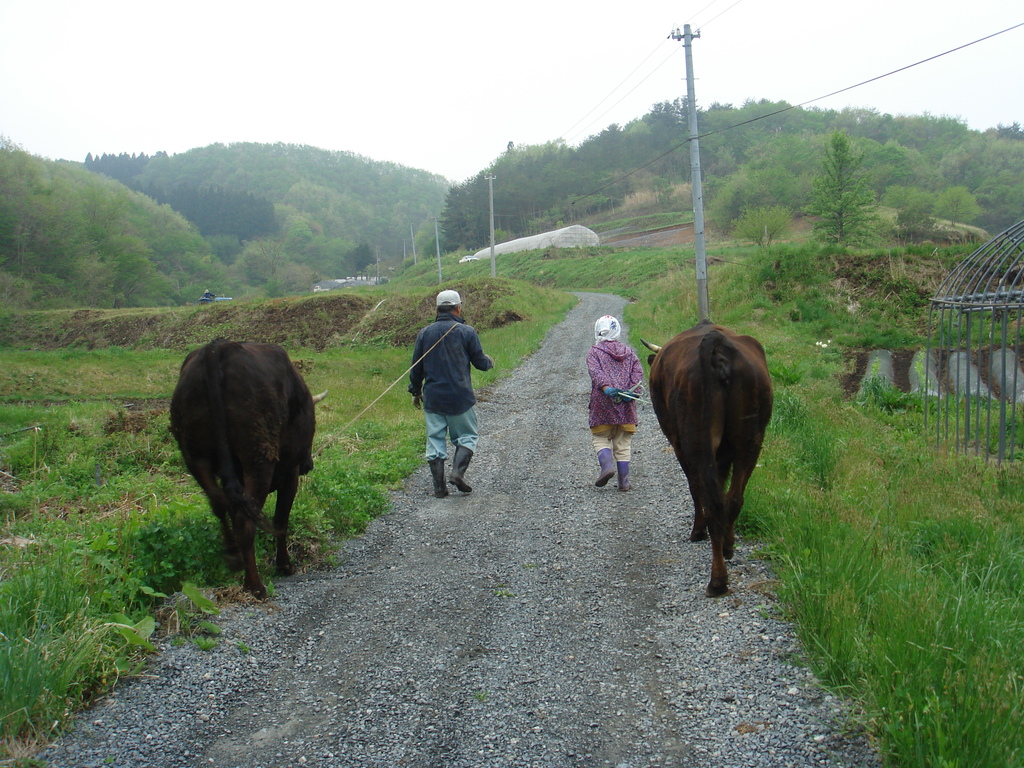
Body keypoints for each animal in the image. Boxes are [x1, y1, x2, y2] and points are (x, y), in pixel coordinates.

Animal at [168, 339, 323, 598]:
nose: (308, 465)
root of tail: (217, 349)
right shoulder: (289, 474)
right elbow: (281, 520)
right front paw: (284, 565)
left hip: (195, 457)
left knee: (219, 504)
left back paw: (233, 556)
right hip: (259, 460)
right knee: (244, 521)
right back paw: (255, 585)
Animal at [643, 321, 770, 598]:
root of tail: (715, 346)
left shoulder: (678, 442)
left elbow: (695, 489)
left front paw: (698, 531)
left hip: (695, 441)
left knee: (710, 500)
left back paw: (717, 580)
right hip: (750, 442)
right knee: (732, 499)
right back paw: (727, 547)